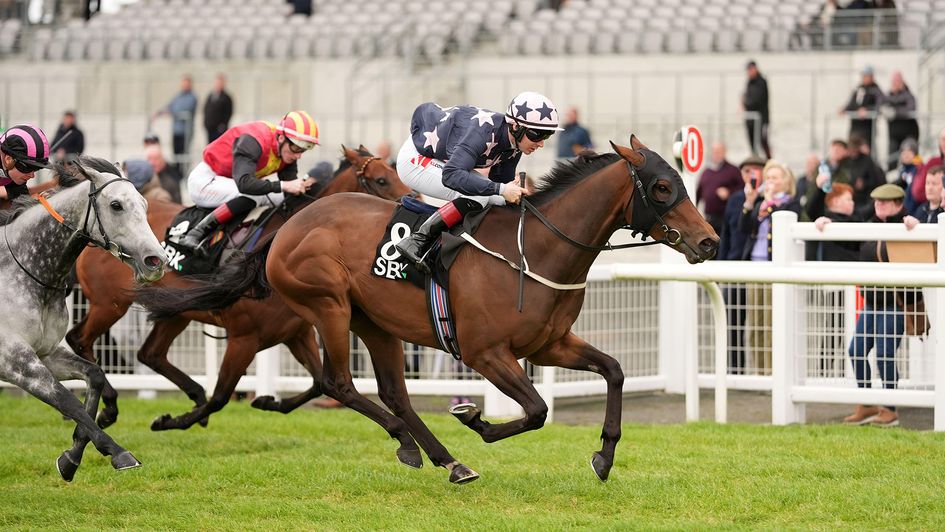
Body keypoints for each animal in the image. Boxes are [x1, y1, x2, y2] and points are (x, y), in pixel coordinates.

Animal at [0, 156, 166, 480]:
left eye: (144, 204)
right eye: (116, 205)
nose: (156, 261)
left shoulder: (46, 352)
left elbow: (95, 377)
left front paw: (72, 456)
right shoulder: (14, 360)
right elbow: (66, 400)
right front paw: (119, 453)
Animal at [64, 145, 408, 428]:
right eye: (381, 180)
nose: (411, 204)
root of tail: (92, 231)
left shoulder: (296, 333)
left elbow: (317, 385)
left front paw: (268, 401)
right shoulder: (244, 338)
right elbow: (221, 397)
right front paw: (173, 421)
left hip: (176, 311)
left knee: (150, 354)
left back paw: (193, 393)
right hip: (110, 303)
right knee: (79, 339)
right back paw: (109, 405)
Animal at [138, 136, 716, 482]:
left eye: (680, 181)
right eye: (662, 186)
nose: (709, 241)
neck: (535, 250)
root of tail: (287, 227)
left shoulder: (550, 345)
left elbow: (614, 371)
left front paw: (603, 455)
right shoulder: (486, 353)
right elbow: (535, 410)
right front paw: (476, 419)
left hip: (375, 322)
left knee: (393, 392)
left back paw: (443, 458)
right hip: (328, 306)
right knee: (339, 383)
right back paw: (414, 444)